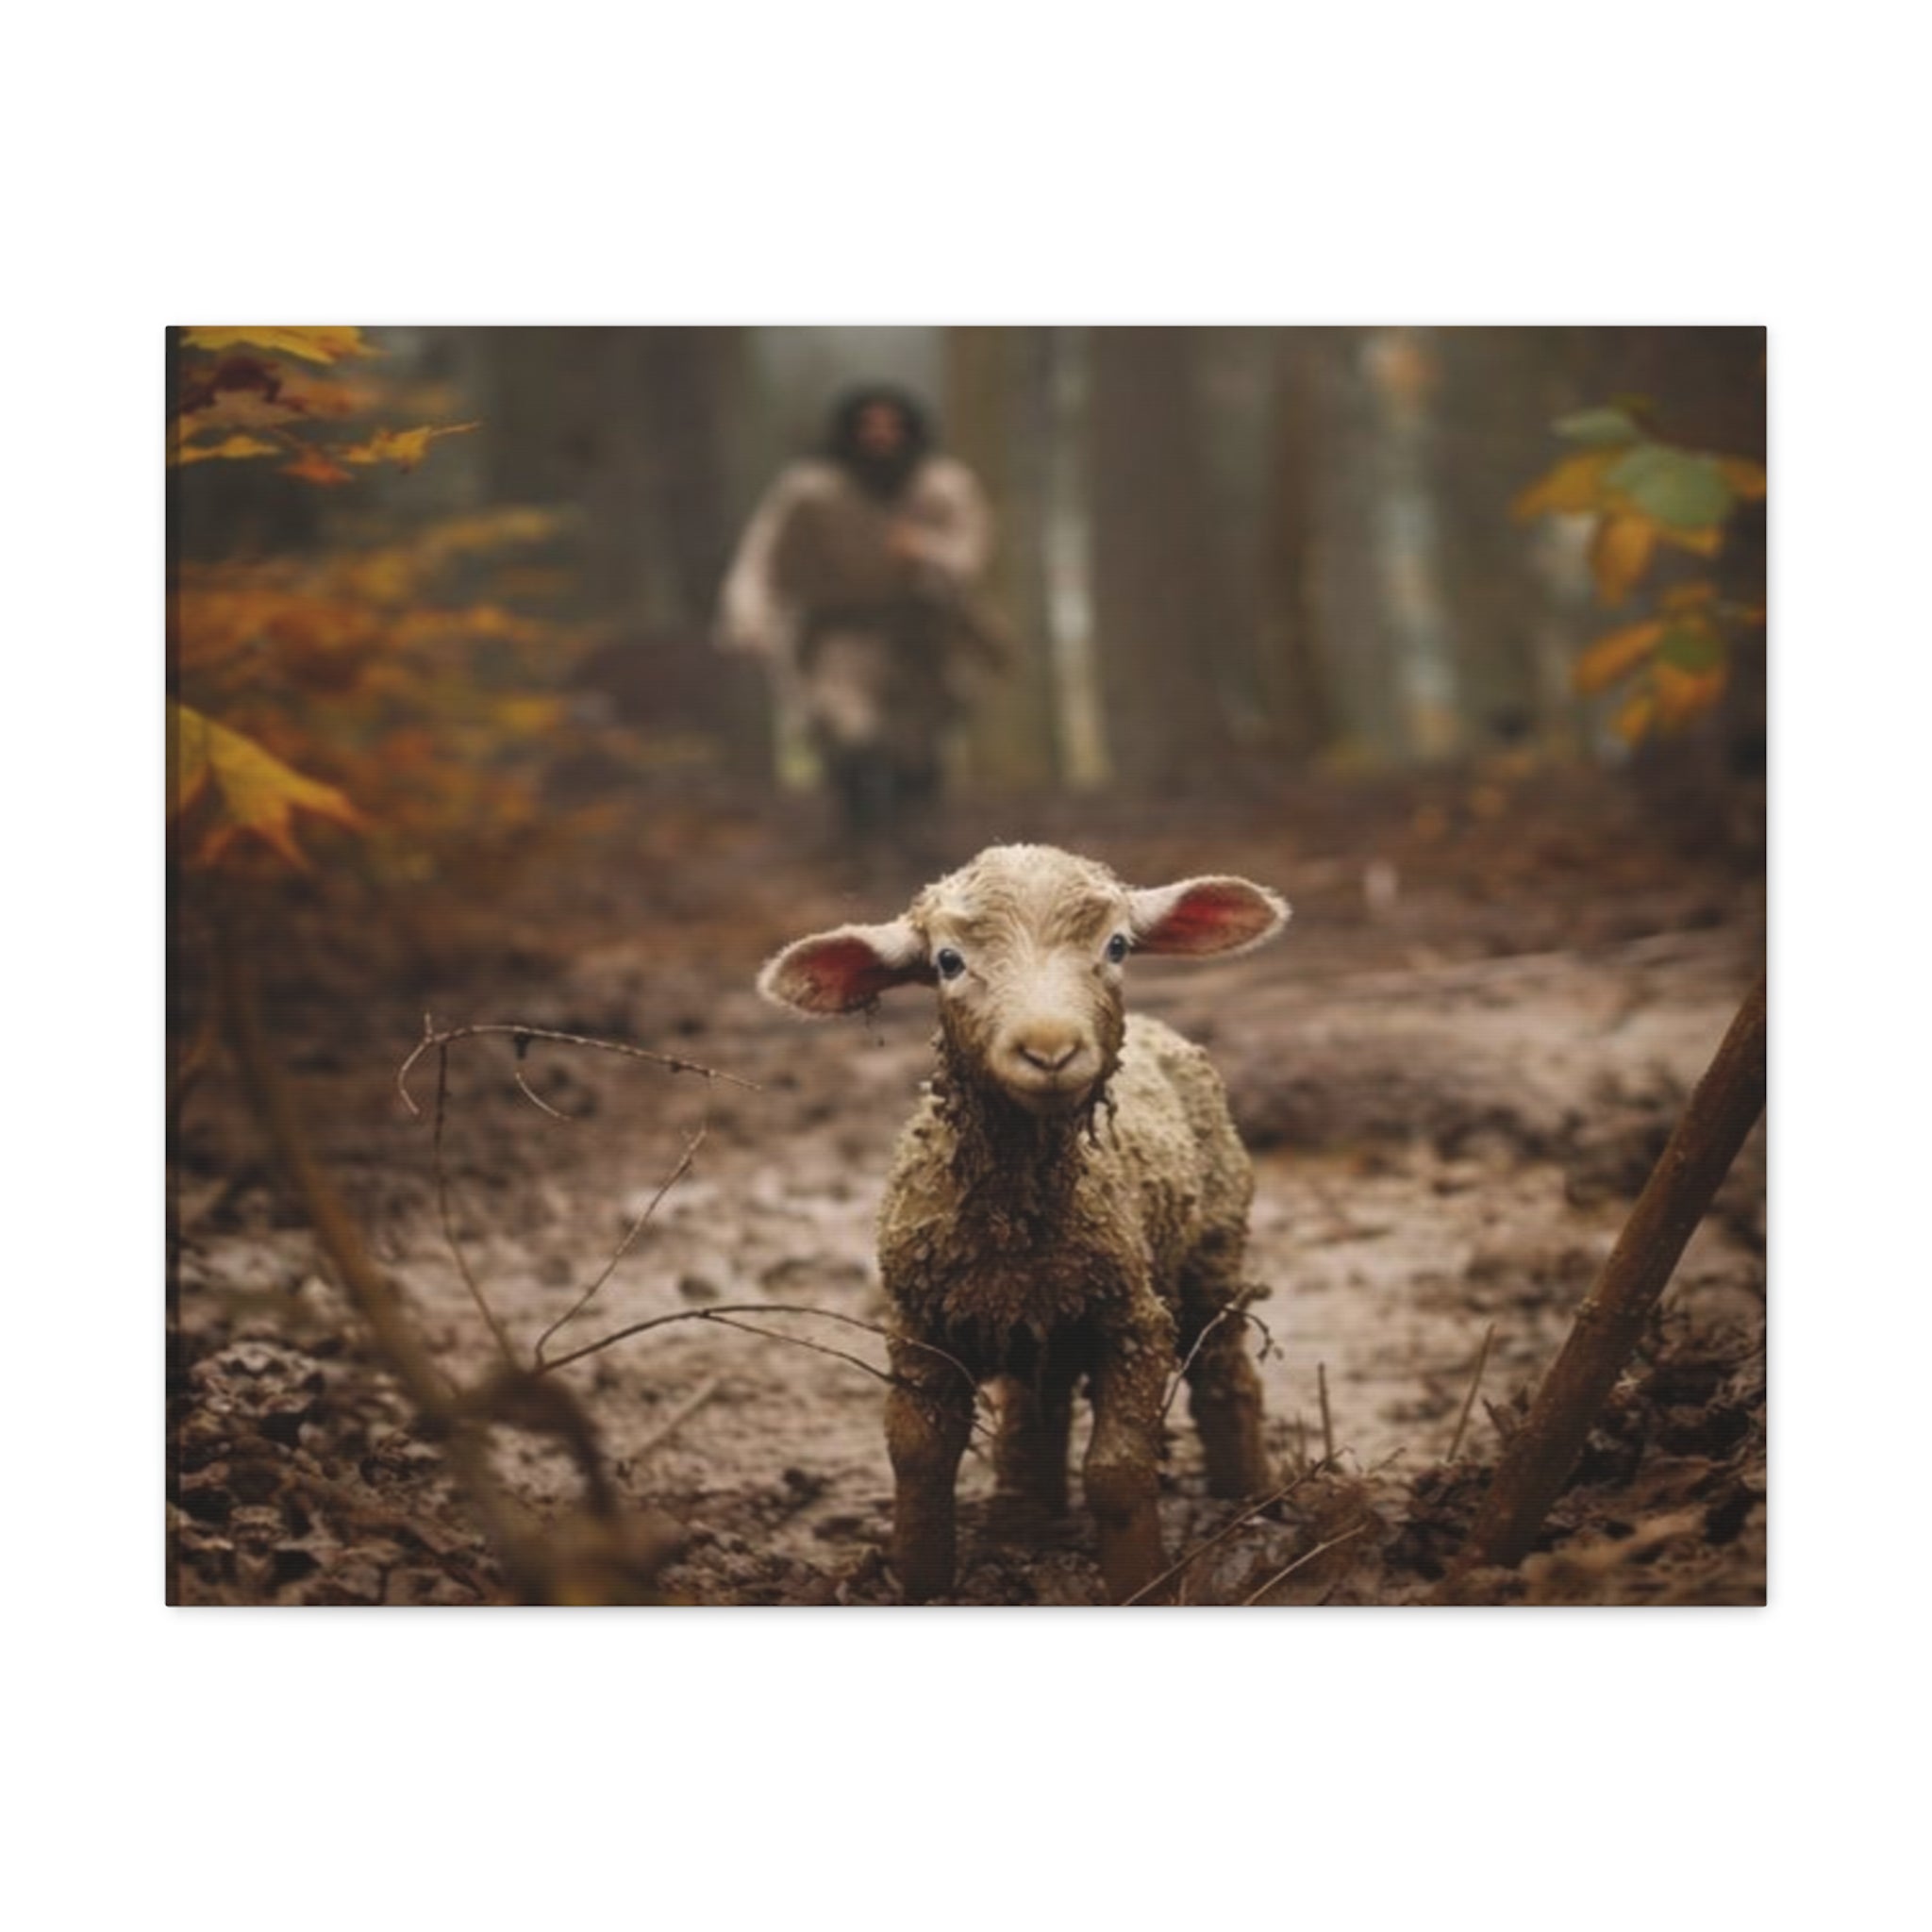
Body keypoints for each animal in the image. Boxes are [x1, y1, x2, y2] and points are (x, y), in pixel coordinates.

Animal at [758, 843, 1289, 1602]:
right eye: (948, 961)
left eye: (1117, 946)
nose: (1049, 1049)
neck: (1019, 1221)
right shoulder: (918, 1324)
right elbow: (918, 1458)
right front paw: (922, 1584)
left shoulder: (1134, 1321)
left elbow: (1117, 1472)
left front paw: (1139, 1584)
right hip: (1048, 1324)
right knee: (1038, 1409)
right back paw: (1026, 1520)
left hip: (1214, 1247)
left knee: (1225, 1375)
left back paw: (1251, 1503)